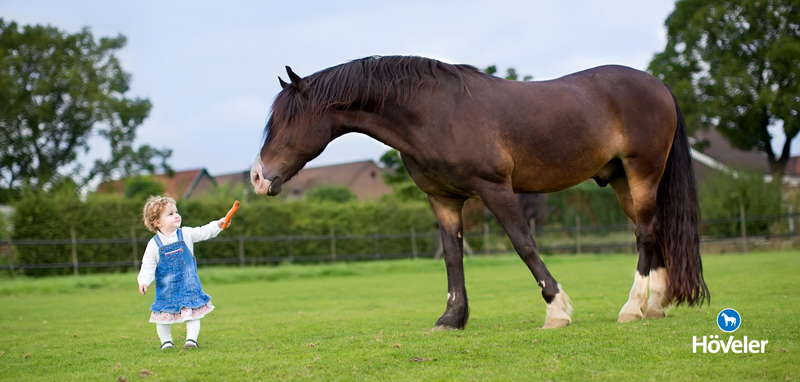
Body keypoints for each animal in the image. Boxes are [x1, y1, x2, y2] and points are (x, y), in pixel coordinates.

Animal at [248, 54, 708, 328]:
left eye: (288, 122)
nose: (256, 177)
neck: (435, 111)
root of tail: (657, 85)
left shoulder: (496, 189)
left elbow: (524, 244)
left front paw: (556, 309)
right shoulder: (443, 199)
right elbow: (453, 257)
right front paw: (452, 318)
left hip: (642, 173)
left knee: (646, 234)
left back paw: (632, 307)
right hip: (620, 180)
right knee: (656, 231)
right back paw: (655, 305)